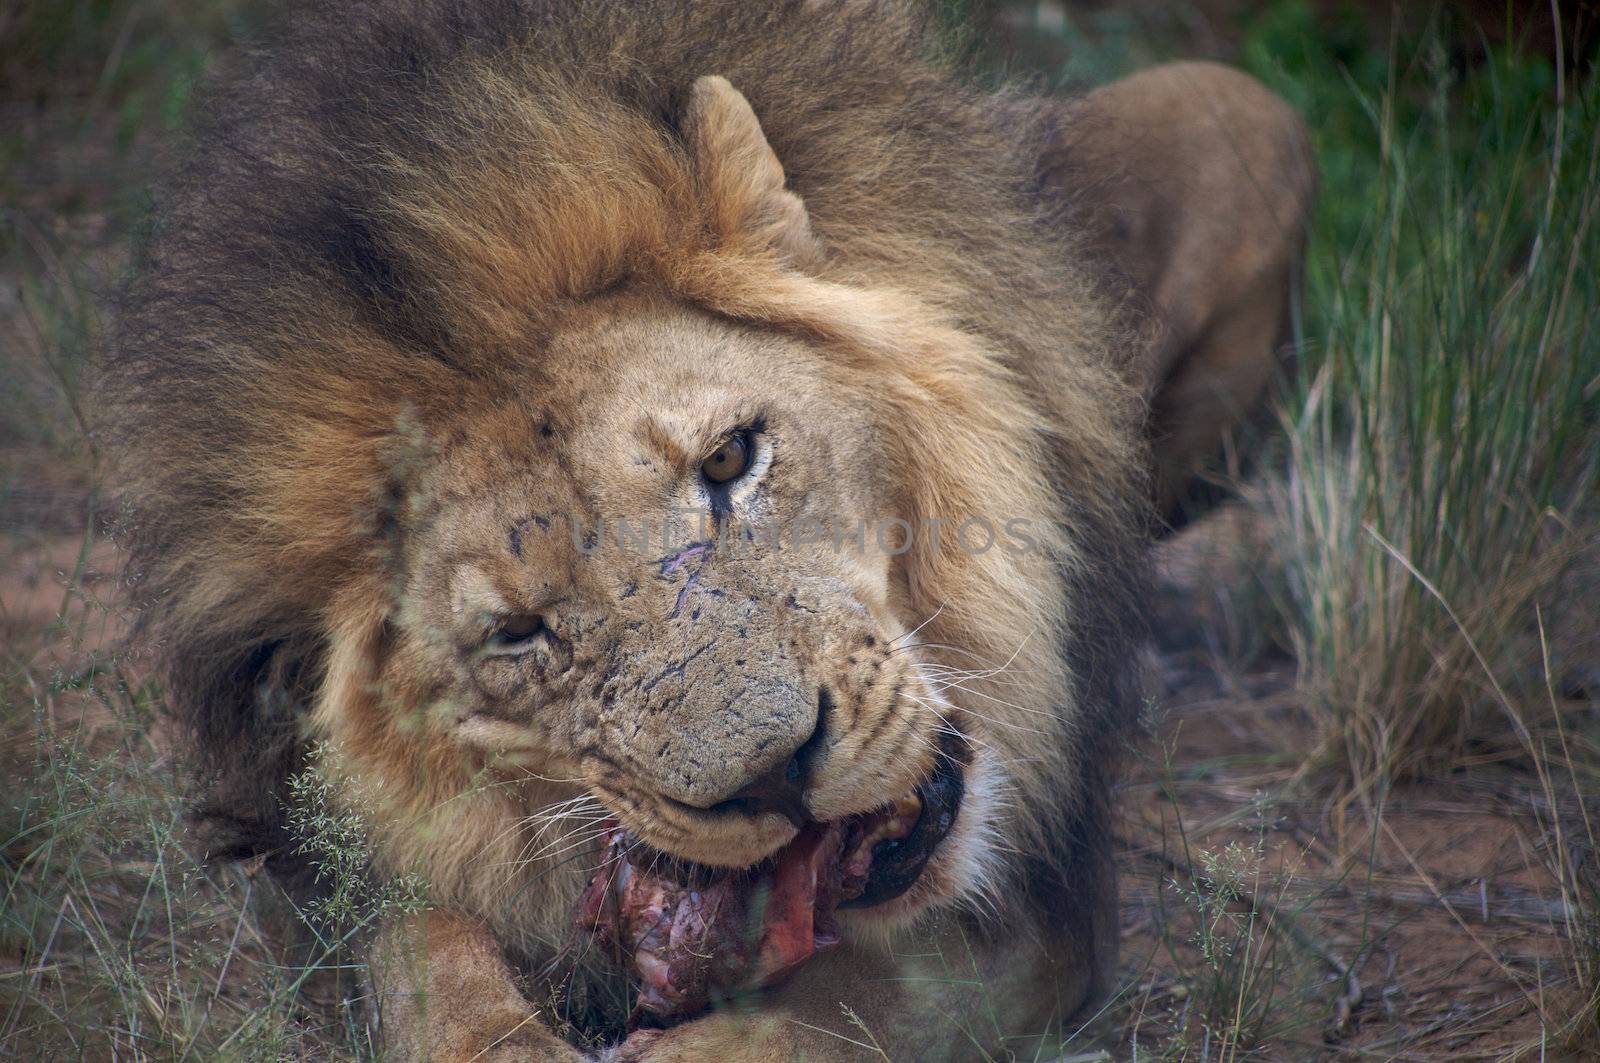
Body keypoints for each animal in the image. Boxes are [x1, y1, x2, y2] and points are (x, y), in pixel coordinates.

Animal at [93, 4, 1305, 1056]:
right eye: (516, 634)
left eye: (729, 459)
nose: (775, 778)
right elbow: (427, 964)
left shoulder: (1046, 910)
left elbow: (832, 1017)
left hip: (1229, 106)